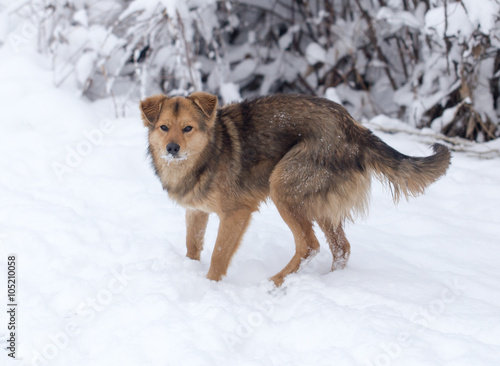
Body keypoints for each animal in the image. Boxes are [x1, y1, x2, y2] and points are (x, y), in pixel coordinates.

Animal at [139, 92, 452, 286]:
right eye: (164, 127)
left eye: (188, 128)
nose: (172, 148)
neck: (208, 153)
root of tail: (354, 128)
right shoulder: (196, 211)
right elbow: (193, 246)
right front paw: (190, 271)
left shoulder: (236, 213)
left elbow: (217, 256)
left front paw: (210, 289)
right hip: (317, 202)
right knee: (341, 247)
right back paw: (331, 282)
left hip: (283, 185)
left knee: (309, 245)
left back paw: (275, 283)